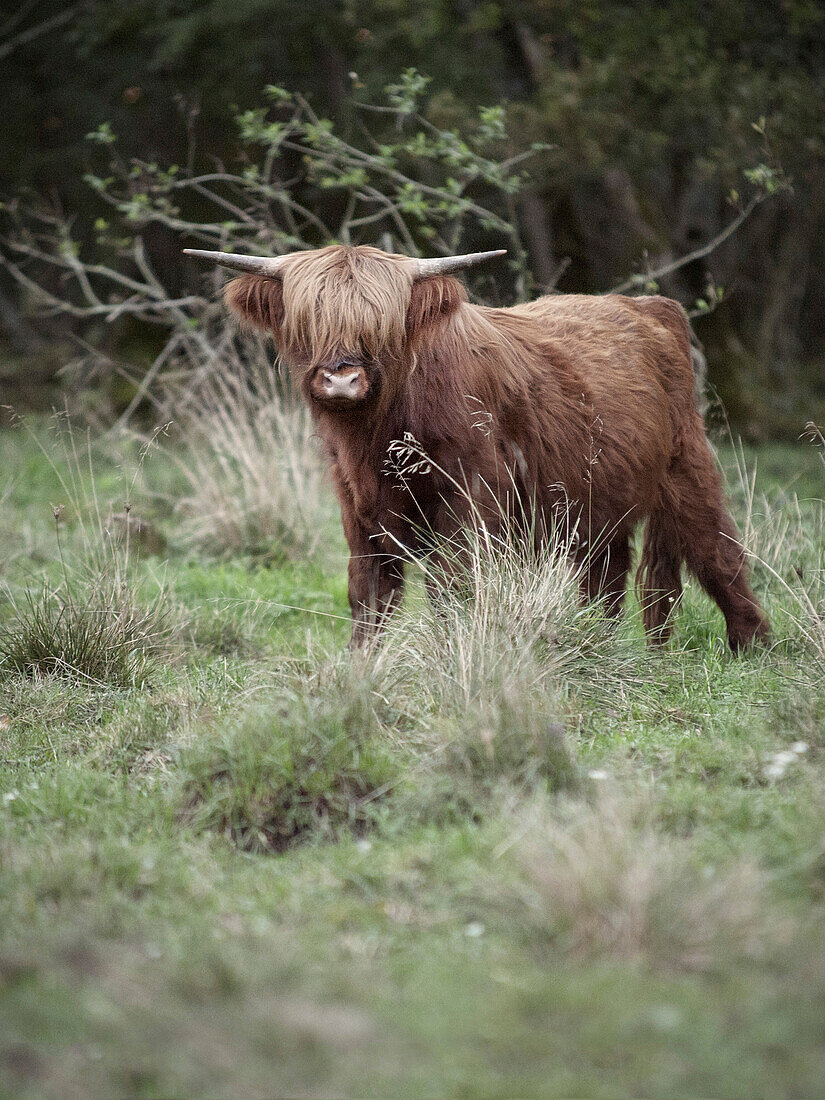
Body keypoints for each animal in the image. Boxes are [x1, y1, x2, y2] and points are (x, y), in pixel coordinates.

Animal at [185, 245, 770, 646]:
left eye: (382, 324)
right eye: (308, 321)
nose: (342, 380)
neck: (379, 438)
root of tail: (648, 306)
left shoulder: (470, 503)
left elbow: (453, 589)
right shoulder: (360, 510)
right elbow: (368, 595)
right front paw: (361, 668)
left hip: (687, 469)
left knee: (718, 554)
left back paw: (753, 648)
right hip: (596, 498)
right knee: (607, 573)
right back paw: (598, 643)